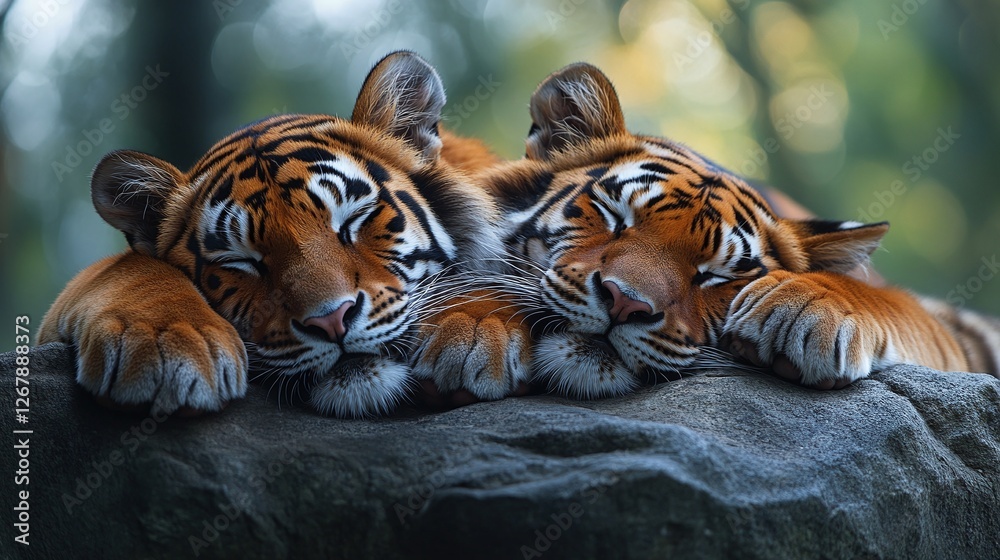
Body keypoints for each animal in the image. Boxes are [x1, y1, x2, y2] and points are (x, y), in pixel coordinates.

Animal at [37, 51, 509, 418]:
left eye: (353, 220)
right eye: (242, 262)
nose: (330, 321)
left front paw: (474, 331)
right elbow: (127, 267)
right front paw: (164, 342)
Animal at [427, 62, 1000, 401]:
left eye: (716, 276)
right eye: (614, 215)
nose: (624, 304)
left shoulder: (952, 334)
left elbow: (896, 304)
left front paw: (808, 307)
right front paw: (469, 328)